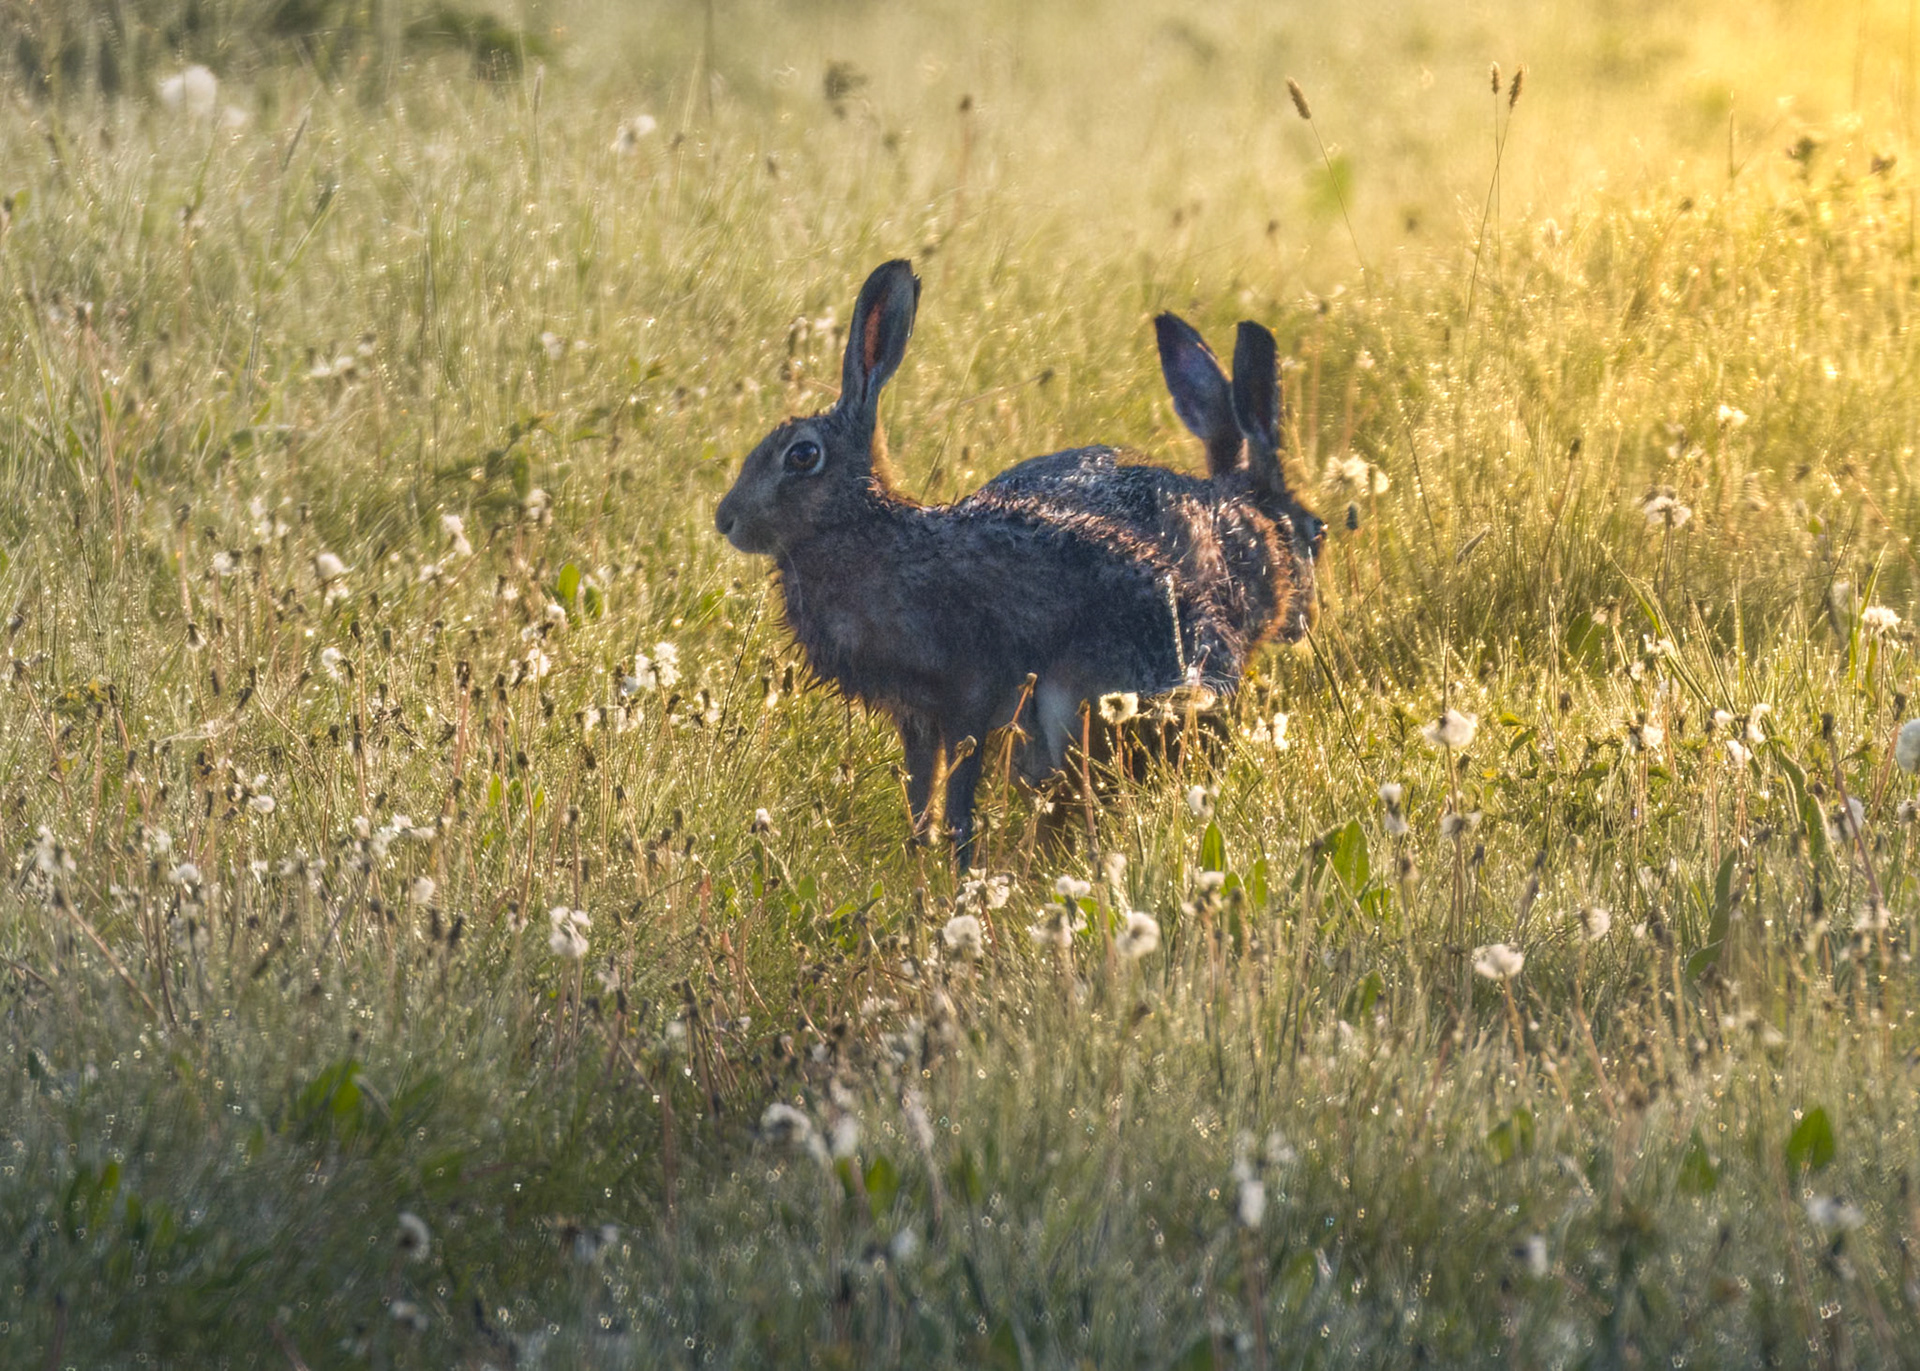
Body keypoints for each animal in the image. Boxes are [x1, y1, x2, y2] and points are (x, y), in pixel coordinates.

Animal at [714, 260, 1240, 868]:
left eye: (802, 456)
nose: (725, 520)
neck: (858, 526)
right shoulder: (915, 716)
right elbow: (921, 790)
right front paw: (920, 858)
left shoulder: (969, 689)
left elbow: (960, 787)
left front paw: (960, 864)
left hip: (1074, 708)